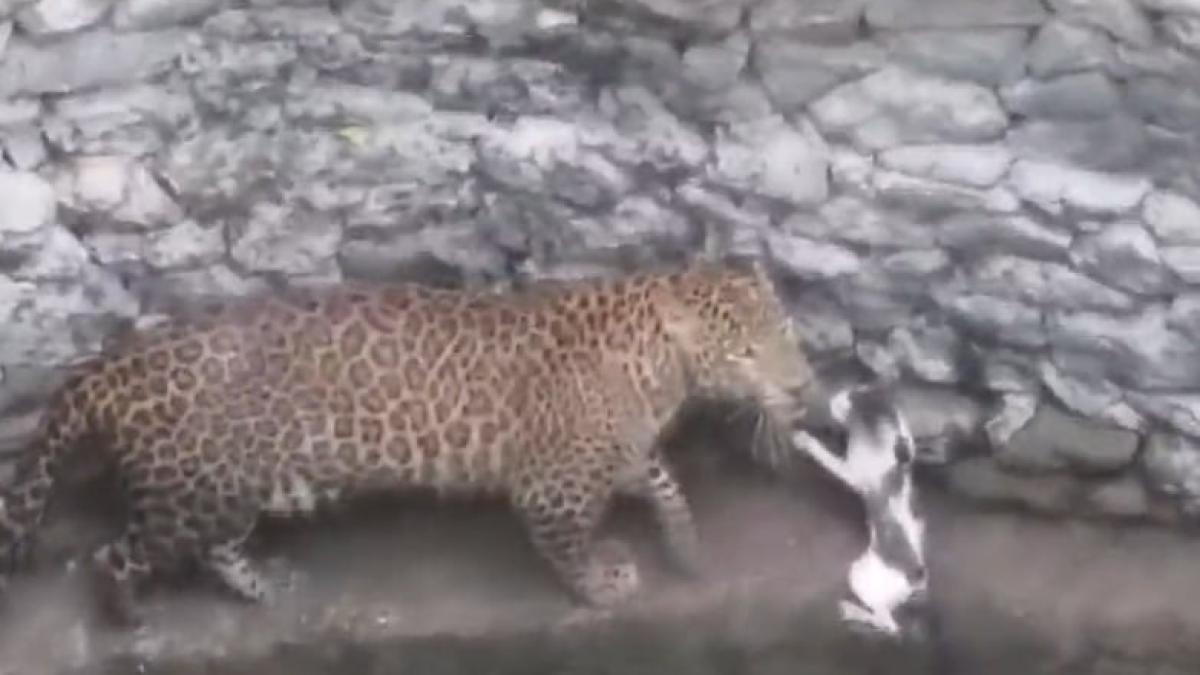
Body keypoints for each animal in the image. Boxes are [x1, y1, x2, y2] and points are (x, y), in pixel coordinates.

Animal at [0, 257, 817, 626]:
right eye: (745, 352)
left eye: (787, 332)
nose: (805, 388)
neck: (658, 368)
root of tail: (111, 364)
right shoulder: (552, 486)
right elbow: (568, 546)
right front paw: (602, 584)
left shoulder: (620, 445)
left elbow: (664, 480)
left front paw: (686, 547)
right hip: (192, 493)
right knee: (117, 554)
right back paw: (131, 618)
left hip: (231, 489)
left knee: (218, 546)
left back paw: (271, 585)